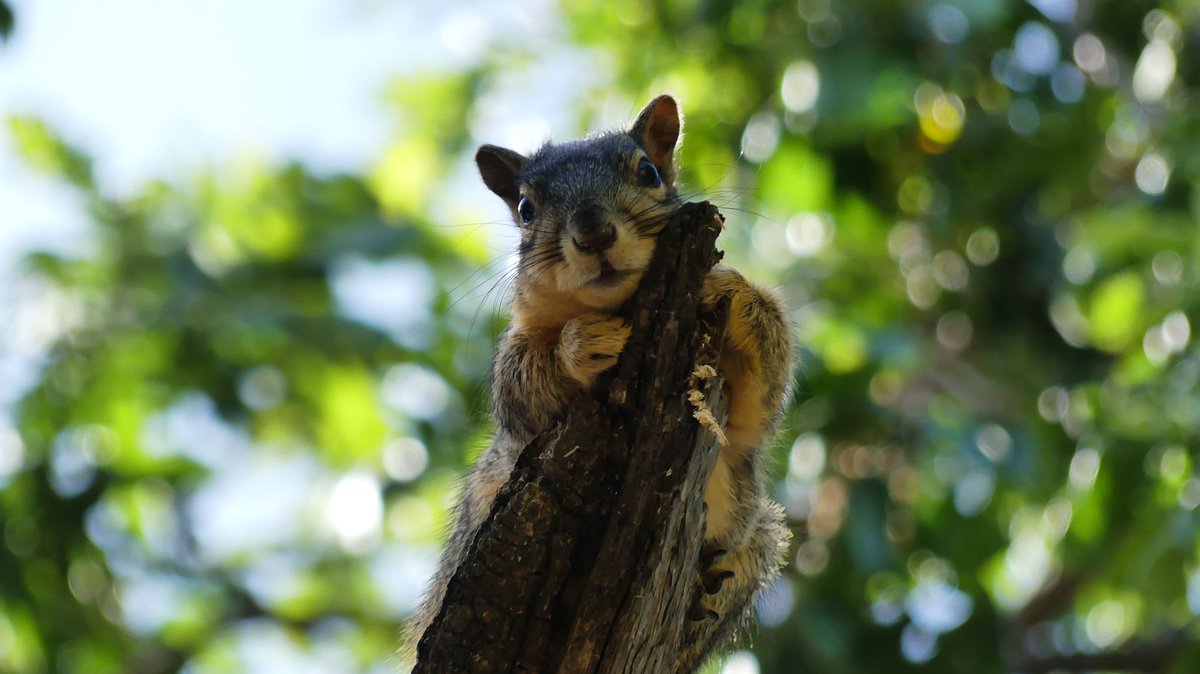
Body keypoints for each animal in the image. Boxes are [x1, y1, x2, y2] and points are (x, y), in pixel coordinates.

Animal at [409, 95, 794, 673]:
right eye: (526, 208)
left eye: (649, 172)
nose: (592, 232)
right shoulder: (519, 386)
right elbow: (520, 387)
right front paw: (584, 343)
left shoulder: (743, 418)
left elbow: (763, 403)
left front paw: (732, 291)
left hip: (759, 542)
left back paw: (704, 594)